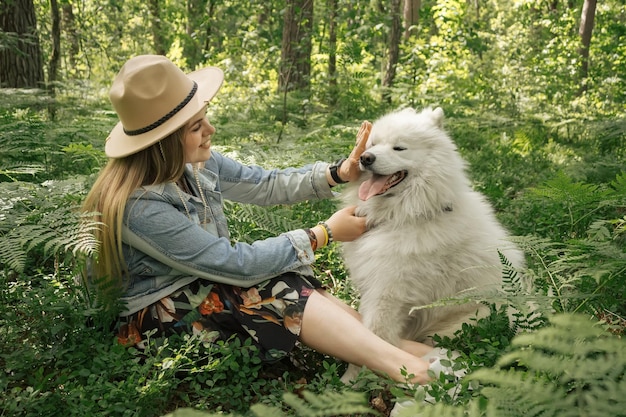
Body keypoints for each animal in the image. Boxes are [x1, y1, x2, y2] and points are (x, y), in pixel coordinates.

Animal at [338, 108, 524, 360]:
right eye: (373, 144)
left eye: (399, 148)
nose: (366, 158)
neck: (408, 215)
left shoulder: (388, 296)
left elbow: (373, 341)